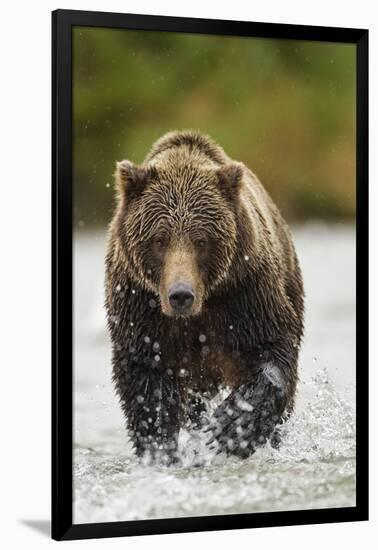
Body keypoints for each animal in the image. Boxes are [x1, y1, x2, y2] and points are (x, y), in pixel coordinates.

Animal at [105, 130, 304, 466]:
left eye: (201, 240)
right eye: (159, 239)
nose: (180, 295)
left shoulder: (245, 291)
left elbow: (272, 346)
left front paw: (234, 425)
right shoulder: (140, 307)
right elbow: (146, 382)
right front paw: (160, 449)